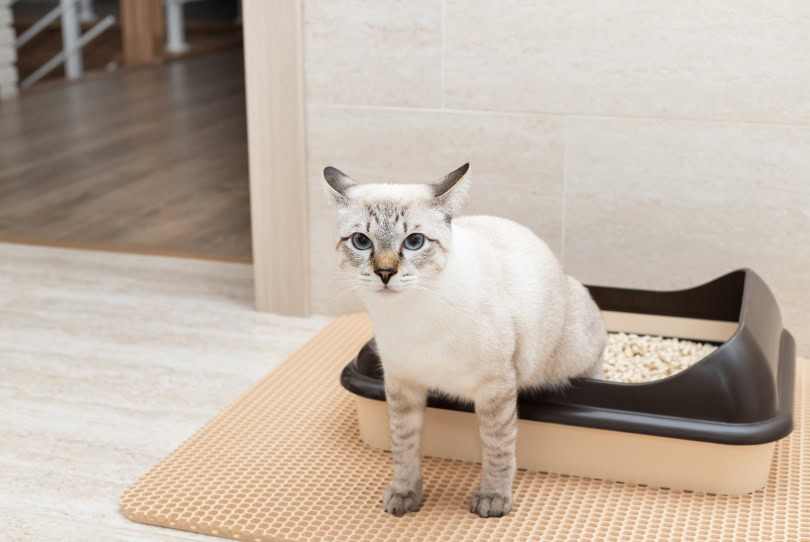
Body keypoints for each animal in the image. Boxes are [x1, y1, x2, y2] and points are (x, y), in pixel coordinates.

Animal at [318, 165, 604, 520]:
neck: (409, 315)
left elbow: (497, 448)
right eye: (361, 241)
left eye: (413, 242)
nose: (385, 273)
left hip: (576, 353)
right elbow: (404, 447)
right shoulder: (402, 385)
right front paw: (405, 495)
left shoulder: (496, 389)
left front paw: (493, 499)